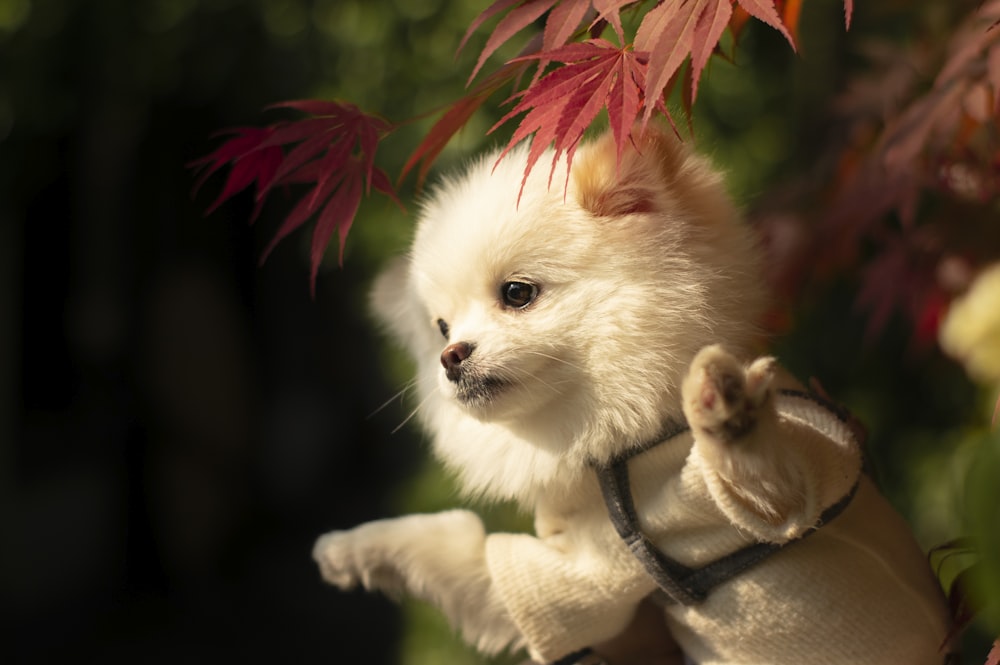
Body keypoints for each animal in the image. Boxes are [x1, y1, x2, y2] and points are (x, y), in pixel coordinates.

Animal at [314, 126, 952, 664]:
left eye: (517, 294)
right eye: (442, 328)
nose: (451, 357)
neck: (630, 433)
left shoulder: (746, 504)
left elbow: (762, 474)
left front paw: (727, 412)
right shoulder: (587, 582)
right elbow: (446, 538)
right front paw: (347, 549)